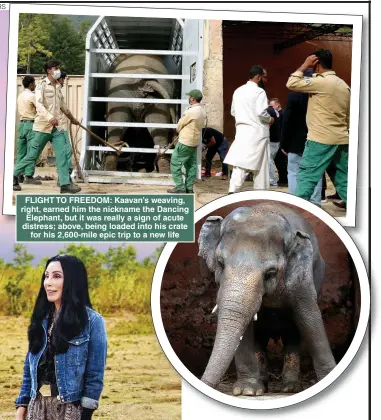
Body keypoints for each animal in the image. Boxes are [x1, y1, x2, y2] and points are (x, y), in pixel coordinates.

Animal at [197, 202, 334, 396]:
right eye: (220, 264)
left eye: (270, 273)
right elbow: (246, 326)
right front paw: (247, 391)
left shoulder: (303, 278)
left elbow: (309, 317)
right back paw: (263, 385)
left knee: (293, 333)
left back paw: (290, 388)